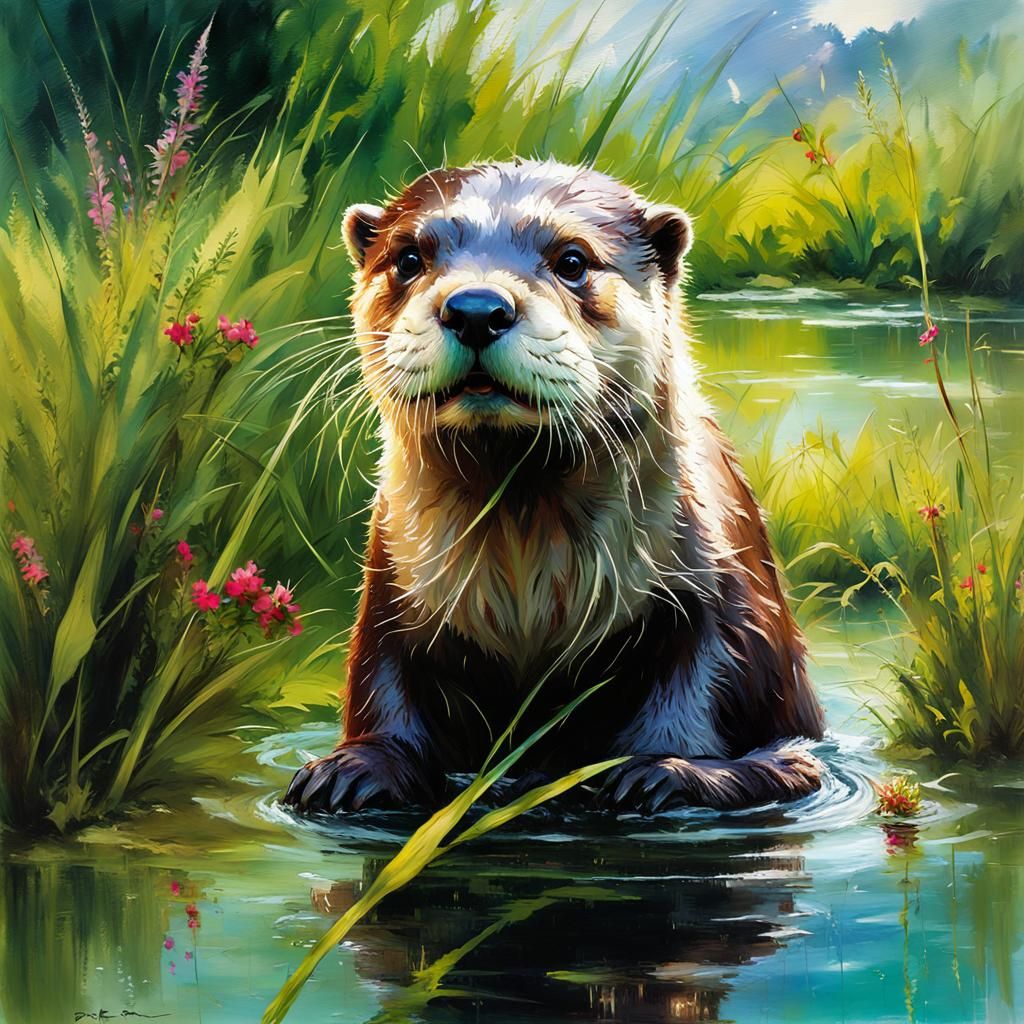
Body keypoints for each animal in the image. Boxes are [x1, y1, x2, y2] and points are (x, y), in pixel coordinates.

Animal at [284, 159, 824, 816]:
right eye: (409, 257)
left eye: (571, 260)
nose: (477, 307)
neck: (531, 601)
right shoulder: (393, 590)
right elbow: (386, 681)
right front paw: (356, 768)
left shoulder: (717, 587)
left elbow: (713, 686)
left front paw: (671, 770)